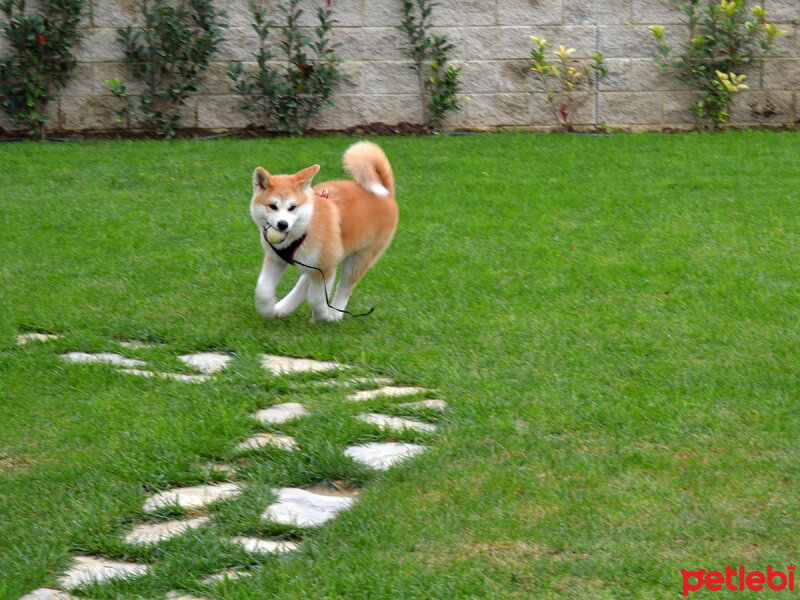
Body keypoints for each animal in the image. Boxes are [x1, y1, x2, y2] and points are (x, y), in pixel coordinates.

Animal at [250, 141, 396, 322]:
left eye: (292, 207)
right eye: (272, 206)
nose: (283, 224)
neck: (304, 228)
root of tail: (387, 192)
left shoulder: (326, 266)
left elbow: (315, 297)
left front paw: (323, 315)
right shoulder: (276, 259)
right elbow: (263, 290)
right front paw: (268, 311)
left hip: (358, 258)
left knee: (344, 286)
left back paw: (335, 314)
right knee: (306, 279)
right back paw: (283, 307)